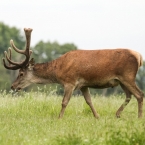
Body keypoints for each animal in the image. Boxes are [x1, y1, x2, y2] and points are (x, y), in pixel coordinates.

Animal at [2, 28, 143, 119]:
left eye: (21, 73)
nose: (13, 86)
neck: (59, 70)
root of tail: (139, 57)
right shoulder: (83, 85)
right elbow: (89, 101)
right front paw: (97, 116)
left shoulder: (70, 81)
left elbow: (64, 101)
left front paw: (59, 118)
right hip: (121, 80)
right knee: (129, 95)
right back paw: (117, 114)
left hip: (128, 76)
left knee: (139, 94)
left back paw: (139, 117)